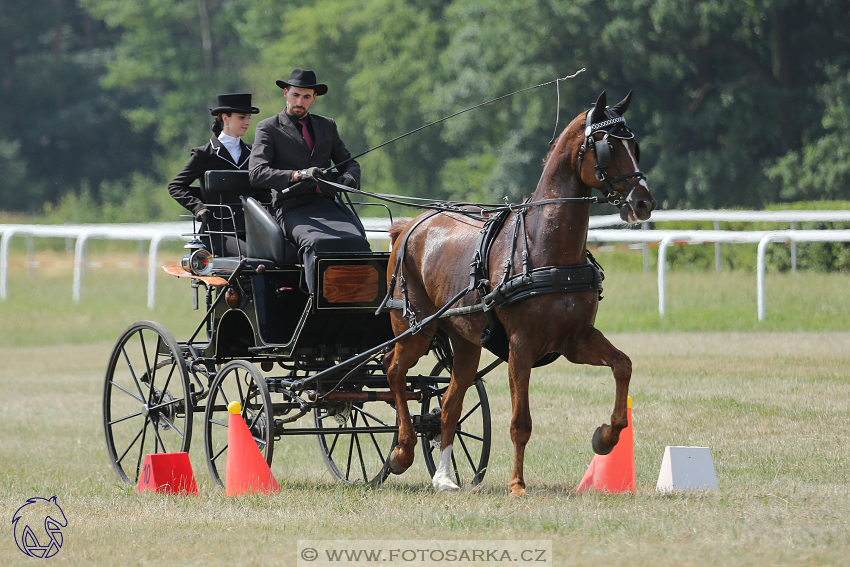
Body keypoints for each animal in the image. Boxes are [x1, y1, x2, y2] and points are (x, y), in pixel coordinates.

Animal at [380, 90, 652, 496]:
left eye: (634, 146)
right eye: (607, 148)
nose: (644, 202)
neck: (545, 247)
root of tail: (410, 225)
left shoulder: (577, 340)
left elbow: (623, 364)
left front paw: (606, 436)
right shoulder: (521, 346)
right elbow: (520, 422)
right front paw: (517, 484)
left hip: (465, 341)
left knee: (449, 403)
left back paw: (443, 477)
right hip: (414, 328)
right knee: (394, 371)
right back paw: (402, 450)